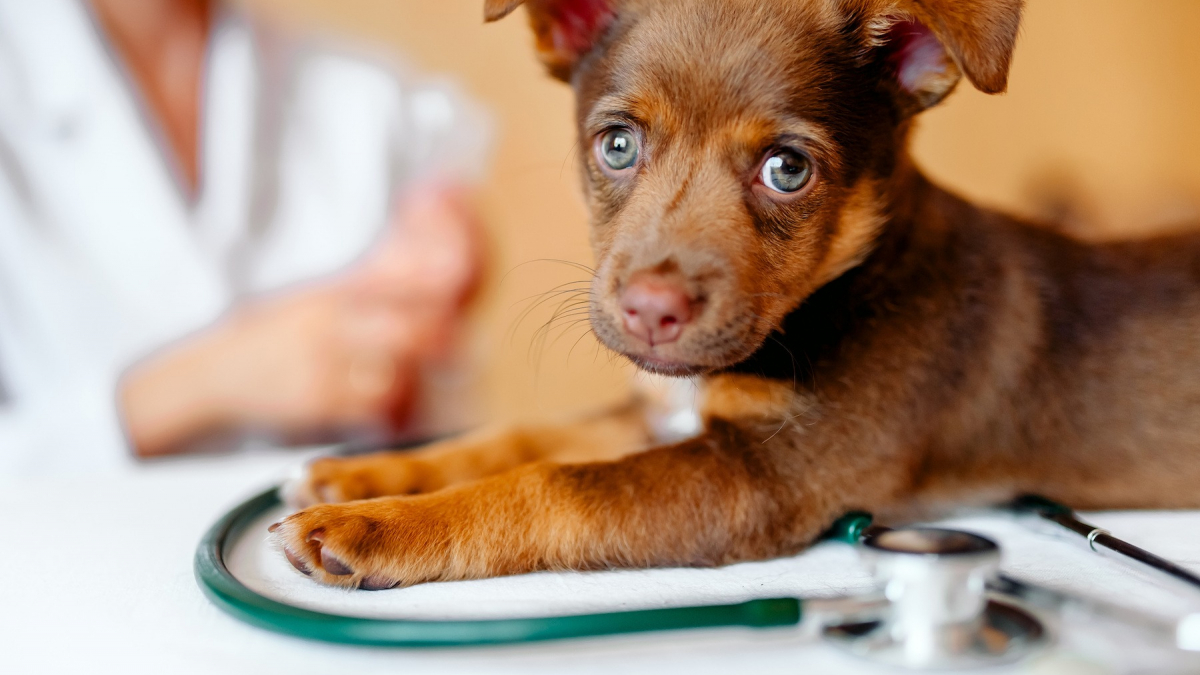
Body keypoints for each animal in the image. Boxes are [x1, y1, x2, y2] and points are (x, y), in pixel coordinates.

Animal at [272, 0, 1200, 588]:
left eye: (787, 169)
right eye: (616, 145)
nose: (651, 311)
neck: (835, 294)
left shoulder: (764, 479)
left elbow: (552, 483)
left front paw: (375, 526)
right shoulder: (662, 413)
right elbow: (525, 434)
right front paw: (370, 473)